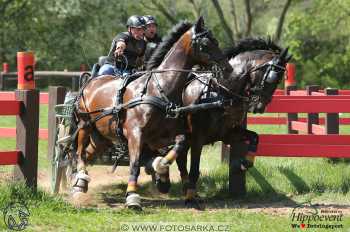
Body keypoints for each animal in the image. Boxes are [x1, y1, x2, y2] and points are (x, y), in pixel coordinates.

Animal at [72, 17, 231, 210]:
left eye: (216, 41)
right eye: (206, 44)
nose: (228, 68)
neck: (159, 88)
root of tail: (91, 81)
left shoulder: (160, 136)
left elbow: (178, 145)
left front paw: (161, 169)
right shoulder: (136, 134)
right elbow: (134, 164)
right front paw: (132, 197)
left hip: (101, 136)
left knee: (88, 153)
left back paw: (79, 184)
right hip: (84, 125)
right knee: (79, 153)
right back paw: (79, 178)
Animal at [152, 37, 292, 208]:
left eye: (279, 80)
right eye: (272, 77)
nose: (259, 107)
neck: (220, 93)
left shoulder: (228, 134)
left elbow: (255, 137)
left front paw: (245, 162)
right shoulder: (198, 138)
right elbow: (194, 170)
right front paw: (190, 199)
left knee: (180, 157)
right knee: (178, 158)